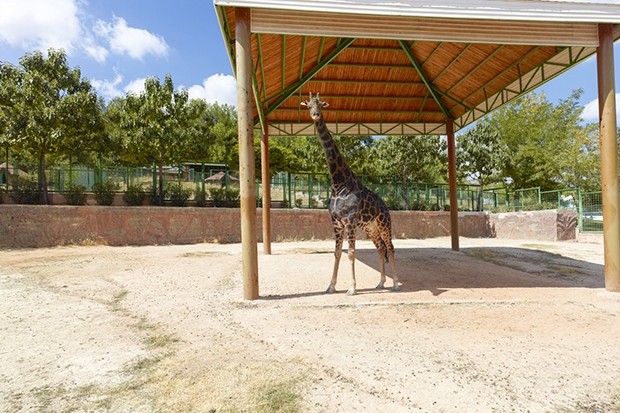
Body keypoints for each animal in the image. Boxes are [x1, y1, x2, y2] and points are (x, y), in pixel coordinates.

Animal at [302, 91, 402, 294]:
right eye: (308, 105)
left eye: (321, 104)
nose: (315, 115)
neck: (337, 182)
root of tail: (385, 206)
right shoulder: (336, 222)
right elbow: (337, 253)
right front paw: (331, 286)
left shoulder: (349, 221)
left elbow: (351, 253)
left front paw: (352, 288)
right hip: (371, 228)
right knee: (381, 248)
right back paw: (381, 283)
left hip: (384, 224)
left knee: (391, 247)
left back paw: (395, 284)